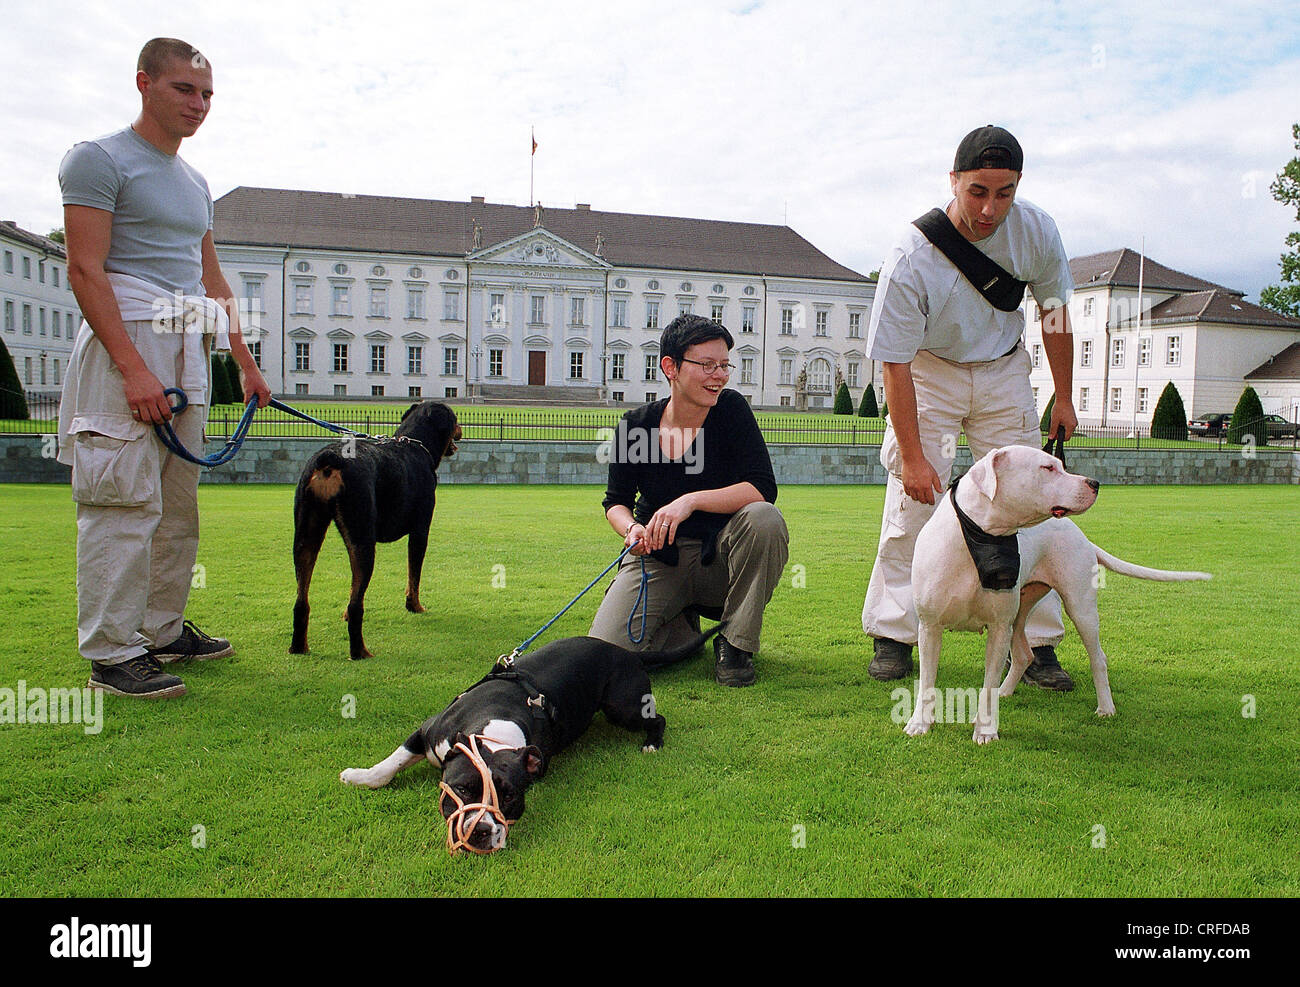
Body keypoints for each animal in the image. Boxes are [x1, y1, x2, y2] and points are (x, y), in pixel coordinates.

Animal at [291, 400, 462, 663]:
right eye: (454, 419)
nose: (461, 429)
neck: (415, 444)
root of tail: (330, 459)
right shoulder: (420, 531)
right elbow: (414, 575)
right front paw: (414, 606)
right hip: (362, 539)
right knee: (356, 605)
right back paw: (360, 651)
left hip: (305, 534)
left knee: (302, 599)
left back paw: (299, 646)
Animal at [904, 444, 1206, 743]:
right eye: (1048, 467)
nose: (1095, 483)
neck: (979, 538)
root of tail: (1083, 537)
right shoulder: (930, 627)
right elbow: (927, 681)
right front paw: (920, 724)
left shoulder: (998, 628)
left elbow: (987, 688)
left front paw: (985, 730)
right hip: (1020, 613)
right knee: (1024, 655)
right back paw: (1006, 690)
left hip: (1081, 609)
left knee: (1098, 658)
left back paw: (1105, 707)